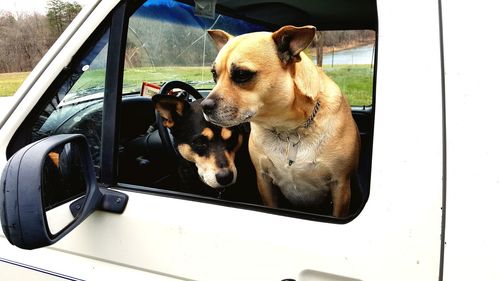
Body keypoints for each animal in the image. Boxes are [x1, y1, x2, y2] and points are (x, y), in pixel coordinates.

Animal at [201, 25, 362, 217]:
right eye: (214, 75)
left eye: (241, 74)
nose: (204, 106)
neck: (287, 129)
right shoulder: (264, 180)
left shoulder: (341, 186)